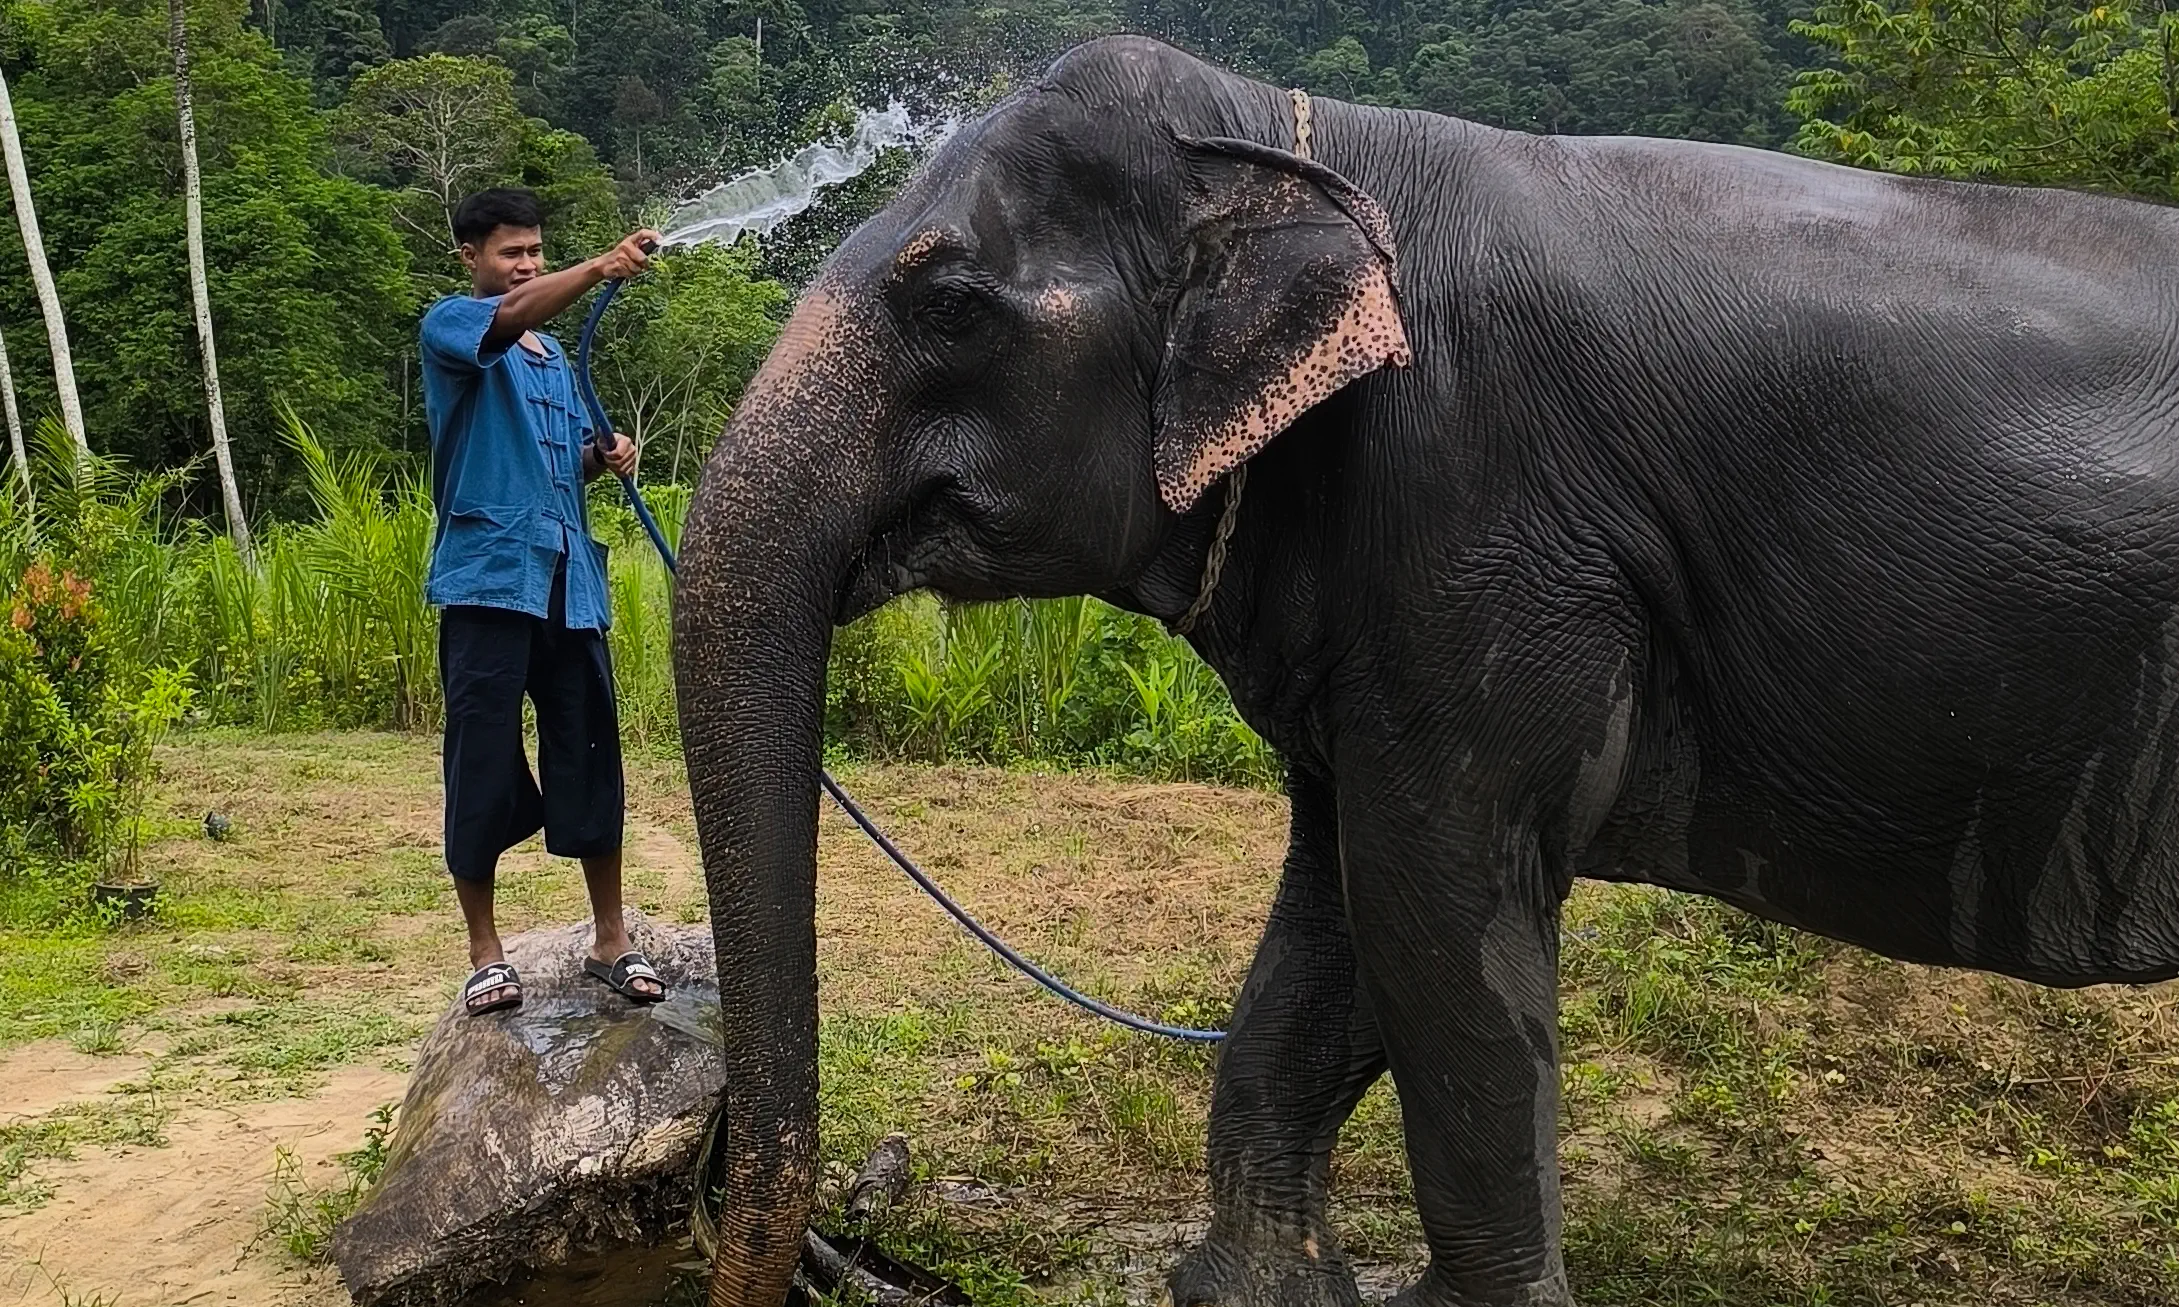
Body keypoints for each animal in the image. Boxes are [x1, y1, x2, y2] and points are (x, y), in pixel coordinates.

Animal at [670, 34, 2179, 1307]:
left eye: (950, 307)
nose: (781, 1254)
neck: (1288, 139)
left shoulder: (1487, 529)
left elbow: (1434, 917)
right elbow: (1334, 918)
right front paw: (1253, 1293)